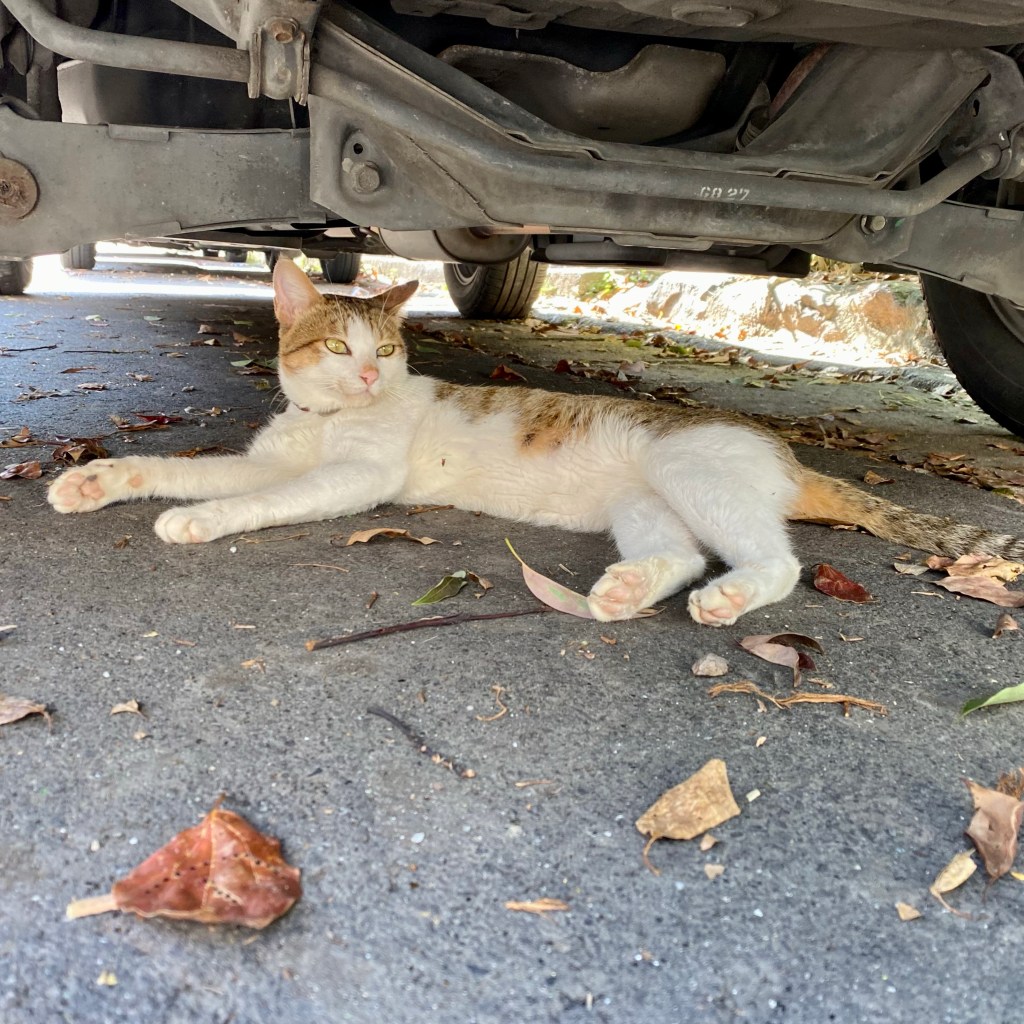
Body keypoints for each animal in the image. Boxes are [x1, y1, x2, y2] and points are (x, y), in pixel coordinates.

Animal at [48, 258, 1024, 626]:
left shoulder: (351, 480)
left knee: (770, 562)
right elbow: (183, 470)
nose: (368, 377)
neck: (325, 424)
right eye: (336, 347)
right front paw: (99, 482)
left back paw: (727, 599)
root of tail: (781, 449)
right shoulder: (261, 455)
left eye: (386, 352)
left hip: (693, 471)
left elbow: (262, 499)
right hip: (643, 504)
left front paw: (199, 523)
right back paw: (627, 590)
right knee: (679, 555)